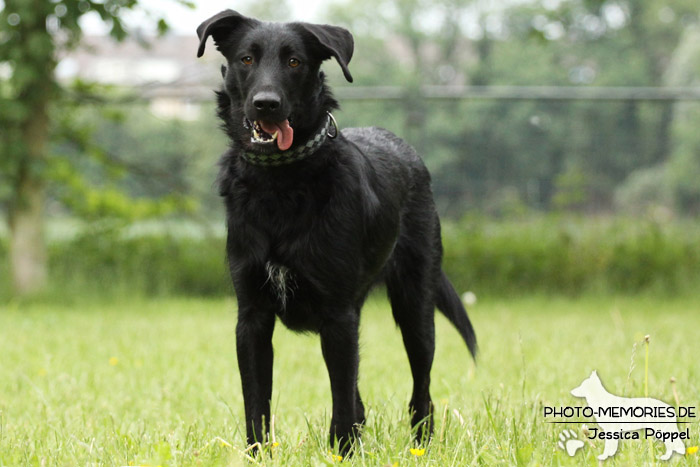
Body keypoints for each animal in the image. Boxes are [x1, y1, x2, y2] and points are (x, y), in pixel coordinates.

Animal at [200, 10, 478, 458]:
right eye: (246, 59)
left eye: (294, 61)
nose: (266, 104)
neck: (280, 182)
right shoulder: (253, 317)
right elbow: (257, 402)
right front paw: (258, 456)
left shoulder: (337, 316)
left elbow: (342, 399)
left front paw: (342, 454)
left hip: (415, 305)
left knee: (420, 391)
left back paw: (421, 446)